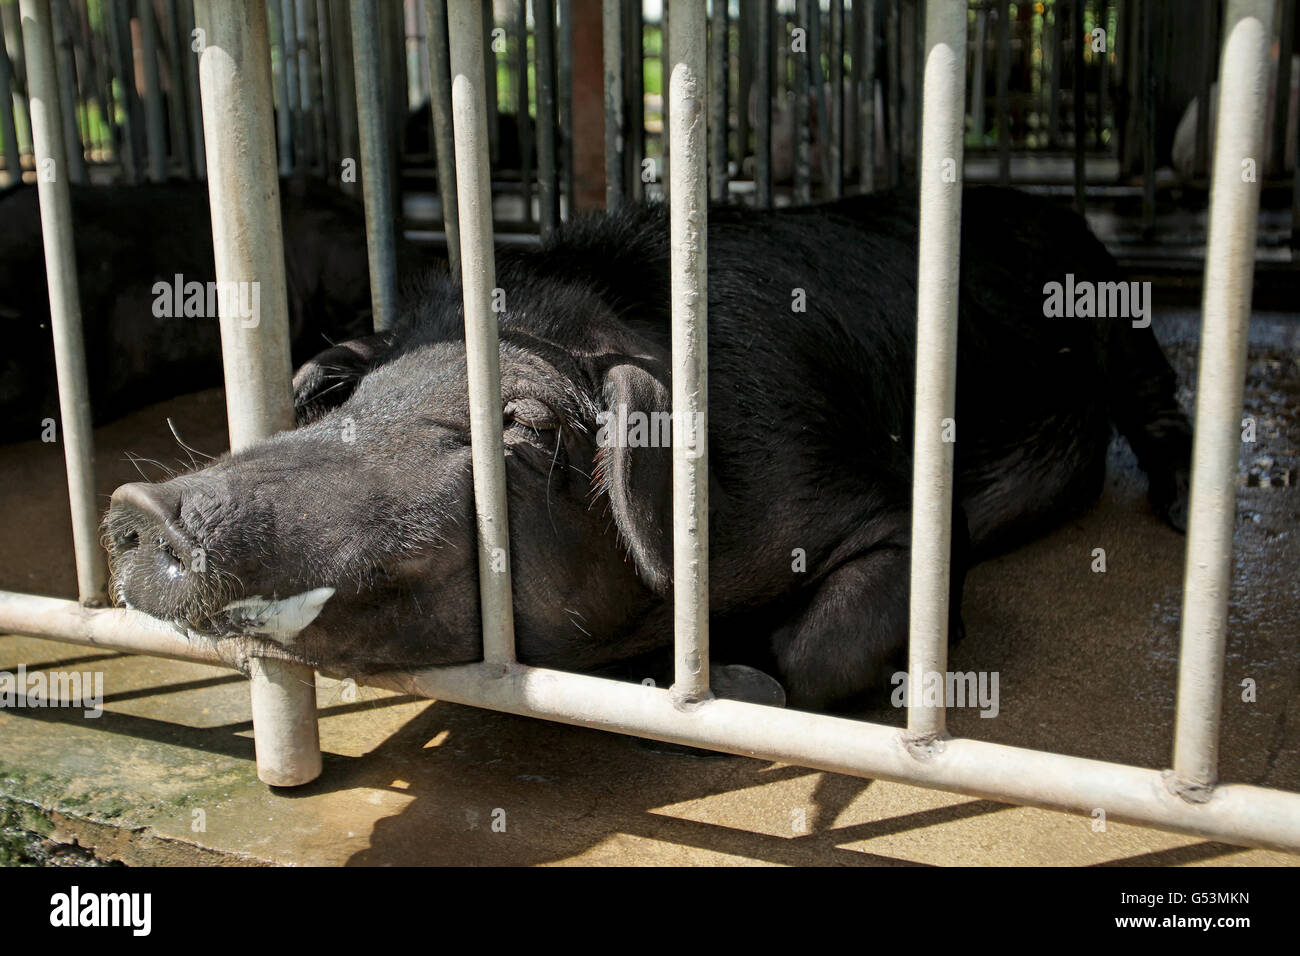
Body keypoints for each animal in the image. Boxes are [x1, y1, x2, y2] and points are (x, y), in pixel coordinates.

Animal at [106, 187, 1190, 712]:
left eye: (519, 424)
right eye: (353, 400)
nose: (140, 509)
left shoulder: (895, 504)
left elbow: (825, 643)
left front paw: (740, 684)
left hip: (1117, 315)